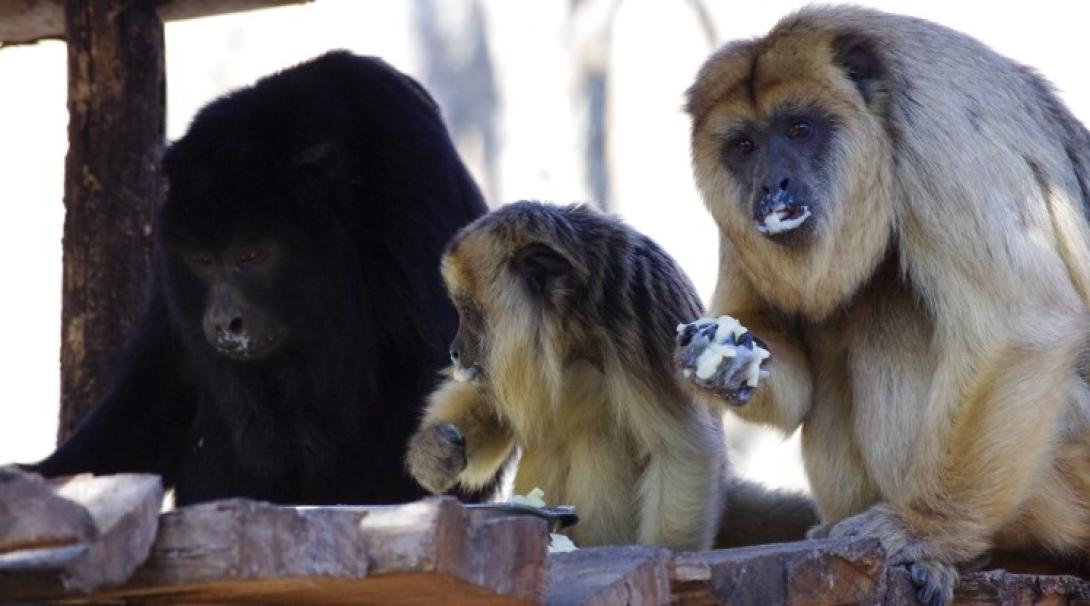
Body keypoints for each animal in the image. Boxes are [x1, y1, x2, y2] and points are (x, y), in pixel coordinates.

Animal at [405, 202, 815, 549]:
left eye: (470, 311)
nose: (454, 351)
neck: (571, 331)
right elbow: (488, 402)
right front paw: (434, 451)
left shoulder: (646, 327)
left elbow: (684, 451)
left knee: (596, 440)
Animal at [680, 5, 1090, 606]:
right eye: (744, 147)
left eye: (799, 129)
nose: (772, 185)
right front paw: (724, 365)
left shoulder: (941, 133)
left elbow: (1021, 326)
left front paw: (922, 530)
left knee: (888, 309)